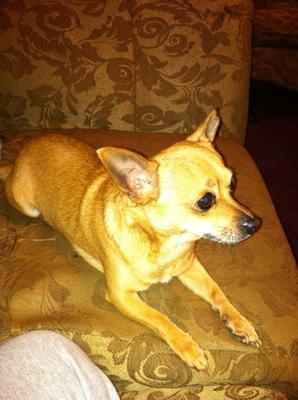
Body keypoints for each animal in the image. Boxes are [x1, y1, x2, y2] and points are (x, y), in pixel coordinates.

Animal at [0, 110, 260, 372]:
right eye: (205, 201)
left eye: (233, 183)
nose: (255, 224)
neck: (164, 246)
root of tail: (20, 155)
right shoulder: (120, 295)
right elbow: (159, 318)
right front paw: (187, 346)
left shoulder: (190, 266)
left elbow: (217, 292)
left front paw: (239, 321)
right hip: (25, 205)